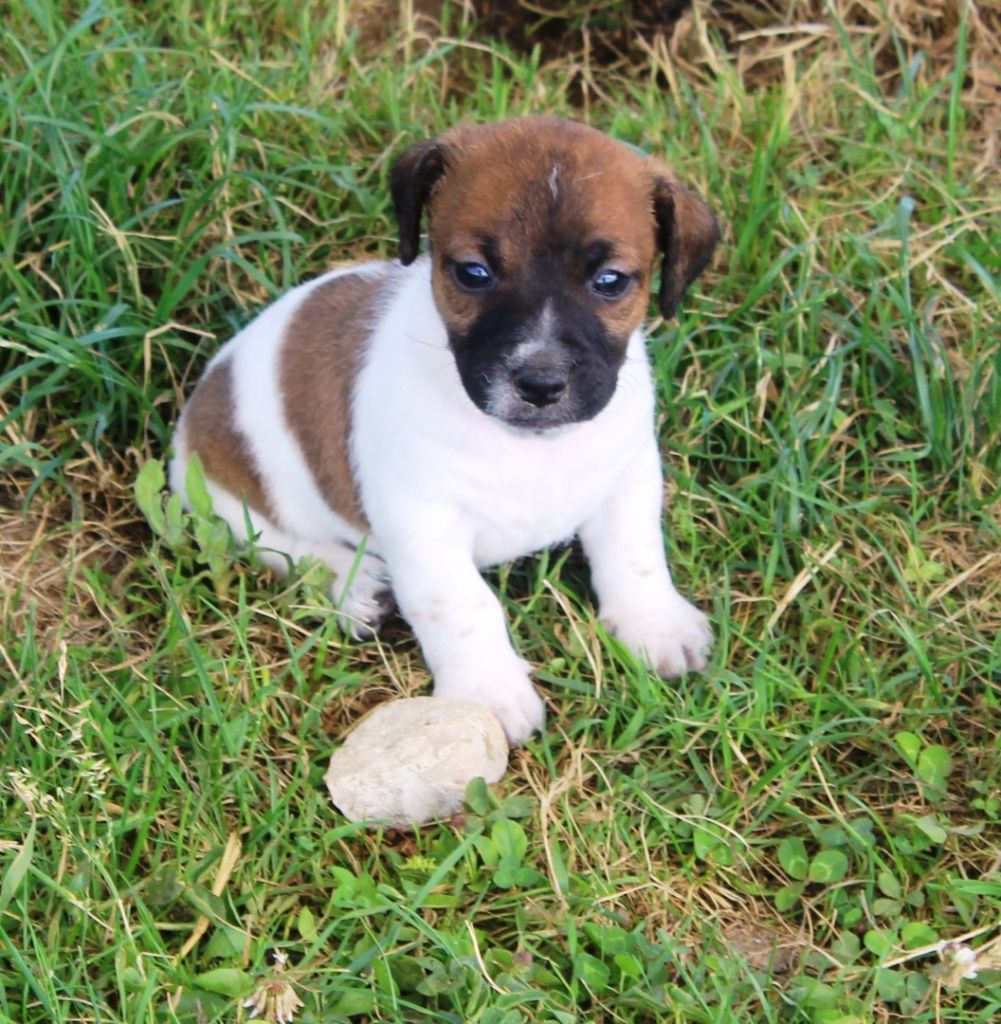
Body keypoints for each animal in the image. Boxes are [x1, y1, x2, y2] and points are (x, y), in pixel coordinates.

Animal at [169, 116, 720, 744]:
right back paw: (354, 585)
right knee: (281, 545)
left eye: (610, 281)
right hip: (221, 496)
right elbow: (462, 606)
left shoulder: (627, 475)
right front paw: (486, 696)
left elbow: (635, 552)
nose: (540, 382)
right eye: (473, 273)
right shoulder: (422, 524)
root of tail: (203, 399)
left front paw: (654, 623)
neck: (527, 443)